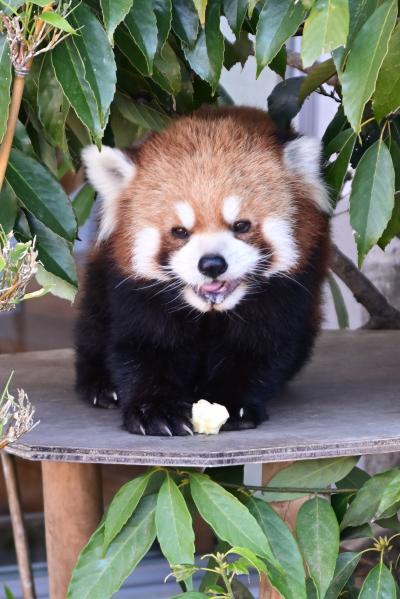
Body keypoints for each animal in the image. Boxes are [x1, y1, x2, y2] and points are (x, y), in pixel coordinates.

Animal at [76, 106, 332, 436]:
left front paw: (229, 403)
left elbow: (257, 347)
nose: (212, 264)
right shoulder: (135, 289)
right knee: (93, 320)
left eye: (241, 225)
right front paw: (155, 409)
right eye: (179, 231)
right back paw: (100, 384)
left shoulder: (286, 289)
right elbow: (147, 345)